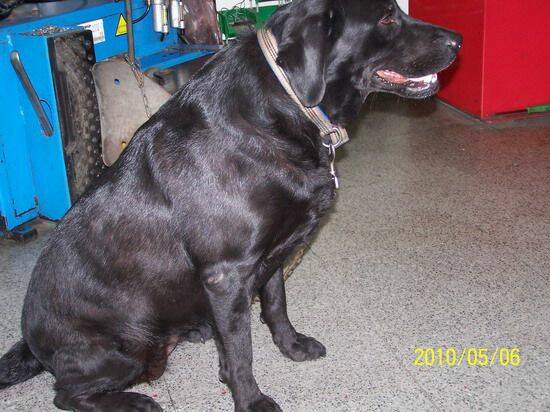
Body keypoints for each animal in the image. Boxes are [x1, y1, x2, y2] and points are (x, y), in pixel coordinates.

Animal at [0, 0, 461, 410]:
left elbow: (275, 305)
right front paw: (251, 400)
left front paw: (291, 345)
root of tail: (31, 342)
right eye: (386, 17)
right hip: (122, 352)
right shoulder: (227, 274)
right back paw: (133, 402)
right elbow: (241, 352)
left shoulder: (271, 257)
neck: (285, 106)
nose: (458, 40)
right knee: (66, 395)